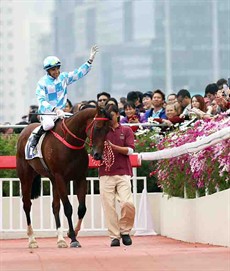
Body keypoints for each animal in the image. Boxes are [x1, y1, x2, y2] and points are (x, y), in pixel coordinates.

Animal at [16, 106, 110, 249]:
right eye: (98, 127)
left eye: (108, 129)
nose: (97, 155)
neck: (70, 142)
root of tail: (24, 131)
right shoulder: (60, 178)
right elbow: (68, 208)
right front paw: (73, 238)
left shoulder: (80, 178)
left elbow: (81, 208)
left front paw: (72, 233)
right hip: (26, 177)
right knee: (27, 205)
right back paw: (32, 239)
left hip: (53, 180)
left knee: (55, 206)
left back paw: (60, 240)